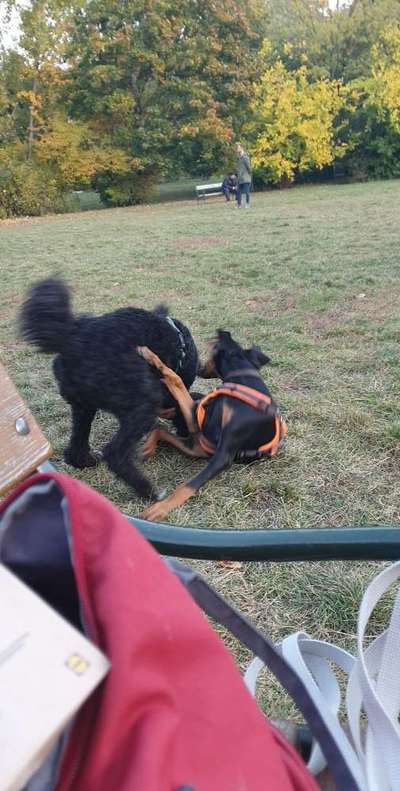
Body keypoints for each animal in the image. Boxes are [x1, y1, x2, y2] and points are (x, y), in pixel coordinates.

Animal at [19, 280, 199, 502]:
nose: (185, 432)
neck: (177, 340)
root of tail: (70, 339)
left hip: (83, 405)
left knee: (74, 447)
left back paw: (86, 461)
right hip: (141, 404)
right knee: (116, 454)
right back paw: (150, 491)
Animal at [138, 332, 288, 524]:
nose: (198, 366)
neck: (240, 384)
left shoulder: (218, 453)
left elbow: (188, 485)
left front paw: (160, 508)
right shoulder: (198, 443)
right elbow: (161, 428)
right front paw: (148, 448)